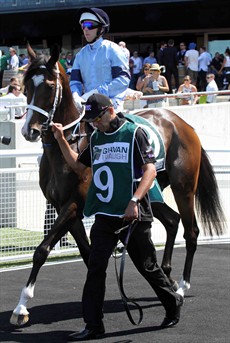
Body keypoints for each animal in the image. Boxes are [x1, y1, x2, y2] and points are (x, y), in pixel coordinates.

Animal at [10, 44, 225, 326]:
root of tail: (184, 124)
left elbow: (42, 249)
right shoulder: (64, 207)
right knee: (172, 221)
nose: (29, 131)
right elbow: (88, 253)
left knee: (191, 232)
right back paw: (166, 275)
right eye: (25, 86)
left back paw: (180, 287)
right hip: (151, 193)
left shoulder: (73, 205)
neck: (68, 145)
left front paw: (21, 307)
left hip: (184, 188)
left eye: (48, 85)